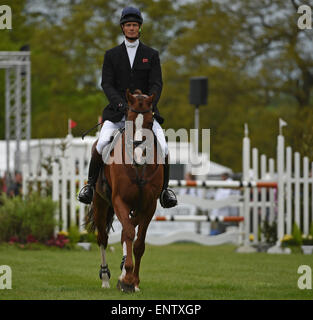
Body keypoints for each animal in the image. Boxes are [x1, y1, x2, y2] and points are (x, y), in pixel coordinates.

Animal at [85, 89, 163, 292]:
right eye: (129, 121)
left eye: (150, 122)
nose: (138, 158)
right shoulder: (120, 200)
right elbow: (128, 233)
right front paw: (127, 280)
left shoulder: (148, 206)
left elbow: (138, 243)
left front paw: (133, 281)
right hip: (100, 203)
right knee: (102, 238)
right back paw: (105, 278)